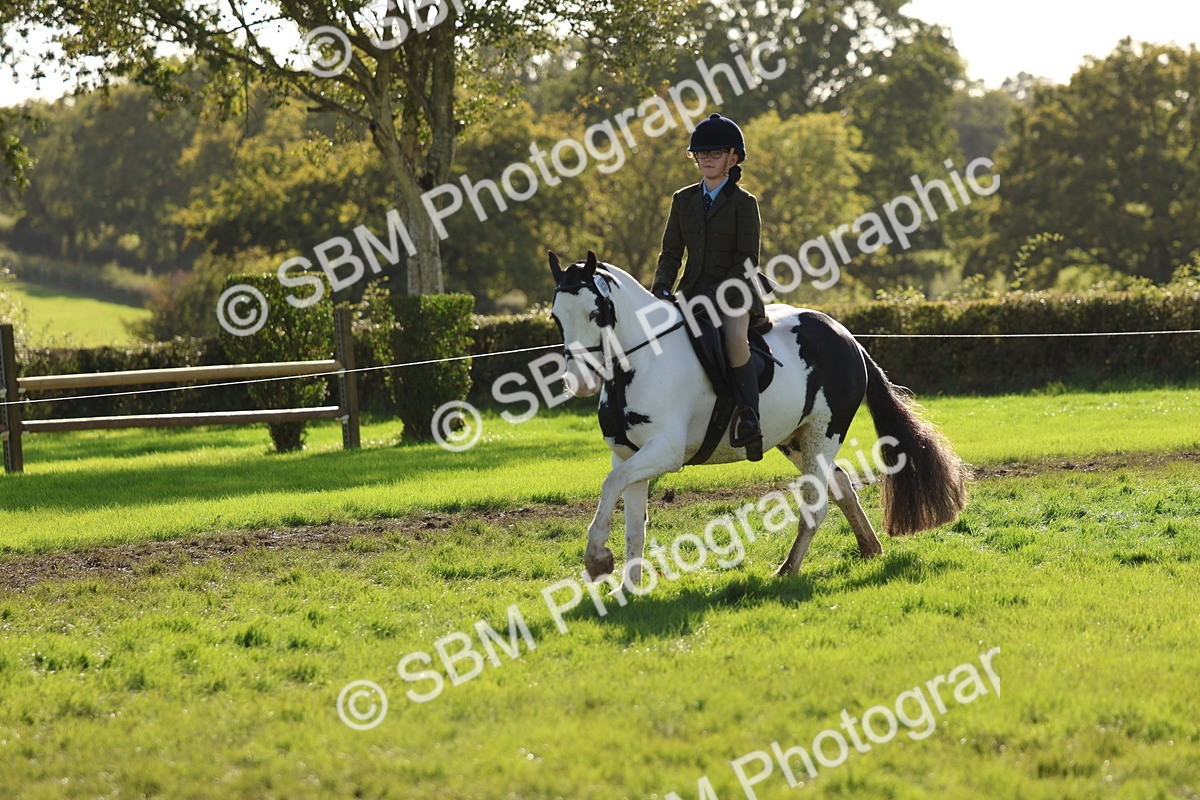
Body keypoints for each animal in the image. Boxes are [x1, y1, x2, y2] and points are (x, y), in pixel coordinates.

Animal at [549, 251, 969, 592]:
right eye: (556, 317)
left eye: (596, 312)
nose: (580, 382)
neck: (641, 362)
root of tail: (847, 337)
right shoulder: (628, 454)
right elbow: (633, 523)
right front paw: (627, 589)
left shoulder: (664, 452)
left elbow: (610, 485)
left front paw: (597, 560)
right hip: (796, 440)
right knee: (840, 485)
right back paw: (869, 548)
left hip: (822, 435)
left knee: (816, 505)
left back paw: (787, 570)